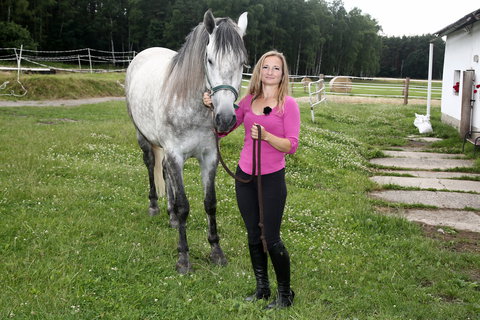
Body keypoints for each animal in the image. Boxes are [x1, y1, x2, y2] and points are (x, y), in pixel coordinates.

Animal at [124, 11, 248, 274]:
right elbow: (184, 205)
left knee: (164, 171)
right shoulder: (175, 154)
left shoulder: (209, 157)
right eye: (209, 60)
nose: (224, 119)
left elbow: (210, 203)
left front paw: (217, 252)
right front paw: (183, 257)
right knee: (151, 165)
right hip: (143, 137)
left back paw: (170, 216)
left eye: (242, 63)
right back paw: (155, 206)